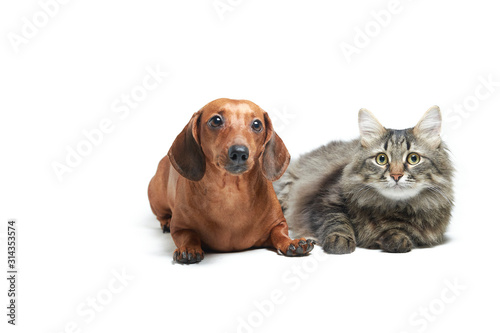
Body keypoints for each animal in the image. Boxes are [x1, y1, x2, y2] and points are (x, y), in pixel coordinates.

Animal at [276, 107, 456, 253]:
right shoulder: (325, 200)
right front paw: (339, 241)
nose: (396, 176)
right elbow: (337, 221)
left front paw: (395, 238)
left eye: (413, 158)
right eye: (381, 159)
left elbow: (400, 229)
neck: (390, 206)